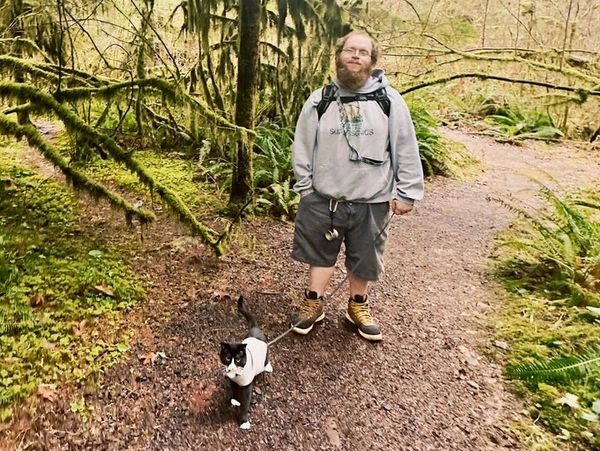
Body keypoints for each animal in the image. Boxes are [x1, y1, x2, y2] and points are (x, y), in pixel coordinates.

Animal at [219, 296, 274, 430]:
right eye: (227, 358)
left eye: (238, 359)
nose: (231, 367)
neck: (237, 375)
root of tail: (255, 328)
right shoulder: (233, 381)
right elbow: (234, 390)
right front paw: (234, 400)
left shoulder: (246, 386)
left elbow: (245, 403)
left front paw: (243, 421)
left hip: (266, 349)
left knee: (267, 358)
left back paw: (267, 367)